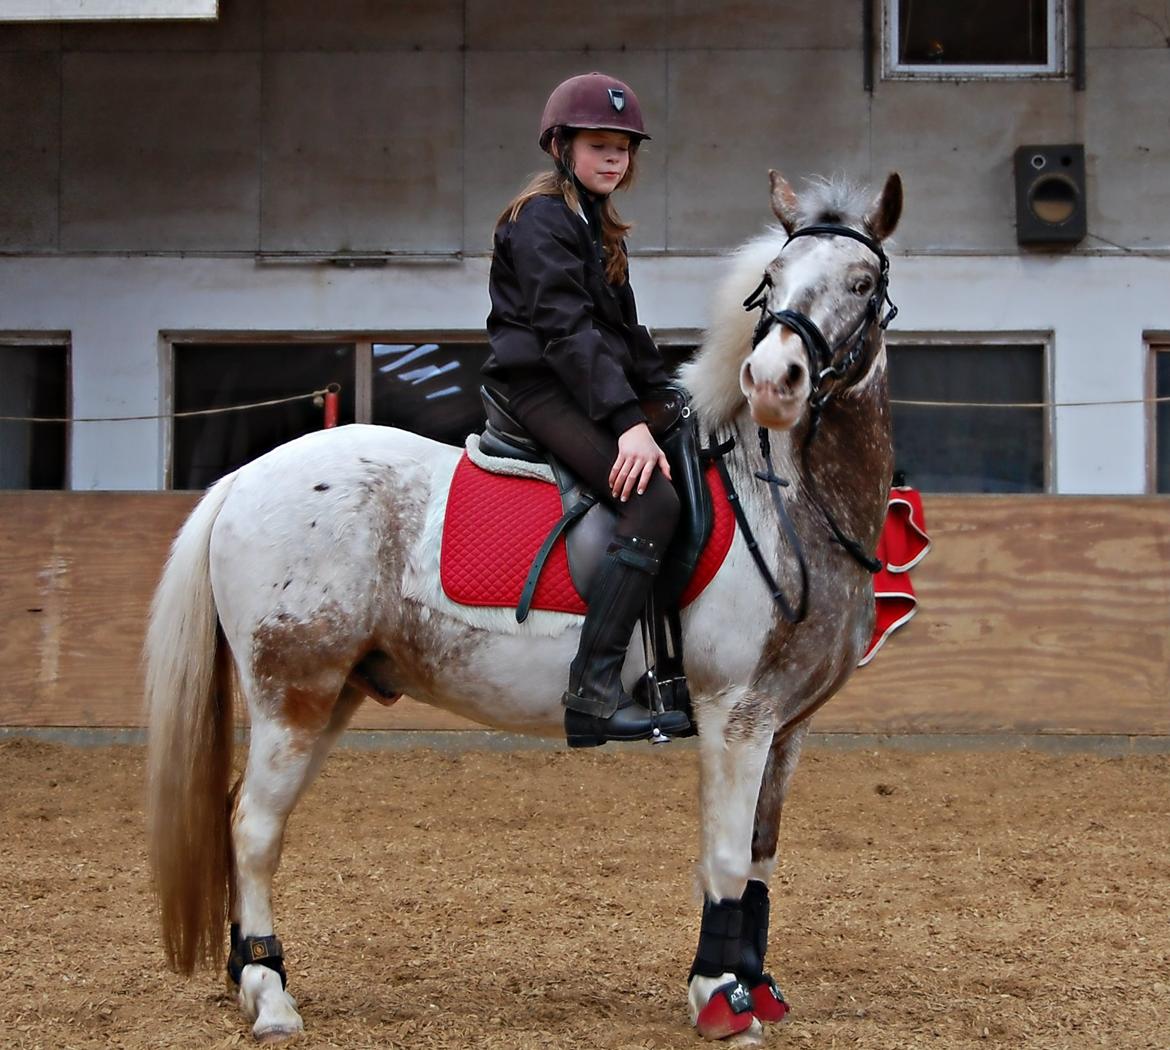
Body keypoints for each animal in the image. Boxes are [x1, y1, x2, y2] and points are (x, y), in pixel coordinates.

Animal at [143, 168, 893, 1034]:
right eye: (773, 278)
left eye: (863, 282)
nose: (774, 384)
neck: (781, 501)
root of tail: (243, 478)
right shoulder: (734, 715)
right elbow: (728, 856)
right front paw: (719, 997)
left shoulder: (787, 724)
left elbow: (763, 855)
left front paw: (755, 986)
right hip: (294, 692)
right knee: (254, 827)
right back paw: (268, 994)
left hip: (331, 694)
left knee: (246, 818)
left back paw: (250, 975)